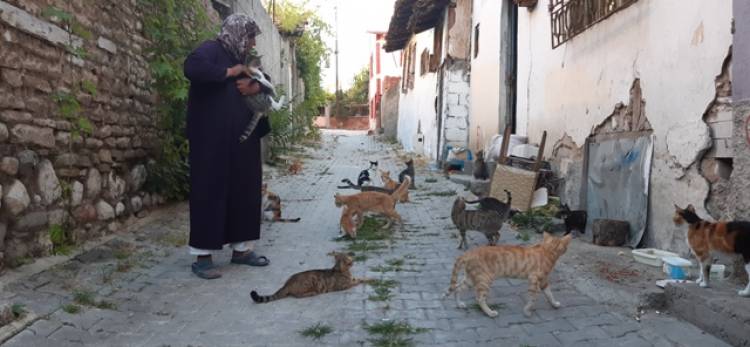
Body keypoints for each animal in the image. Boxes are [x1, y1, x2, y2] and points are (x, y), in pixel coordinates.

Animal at [444, 232, 572, 320]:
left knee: (457, 288)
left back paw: (459, 304)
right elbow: (533, 298)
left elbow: (549, 294)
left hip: (471, 279)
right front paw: (527, 311)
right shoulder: (534, 279)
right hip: (484, 280)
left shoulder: (543, 280)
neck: (547, 250)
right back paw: (490, 313)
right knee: (479, 298)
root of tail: (469, 252)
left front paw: (554, 304)